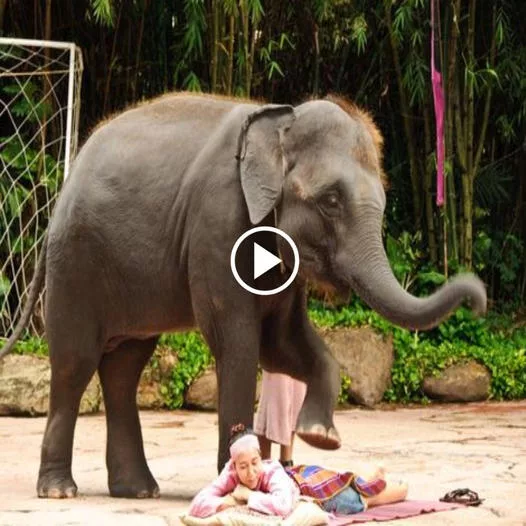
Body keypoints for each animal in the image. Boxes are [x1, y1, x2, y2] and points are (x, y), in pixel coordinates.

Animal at [0, 93, 488, 502]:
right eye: (331, 201)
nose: (479, 300)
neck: (281, 124)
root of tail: (66, 183)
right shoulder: (219, 225)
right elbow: (237, 343)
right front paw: (240, 479)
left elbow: (283, 344)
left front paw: (320, 436)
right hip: (76, 263)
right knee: (76, 362)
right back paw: (60, 491)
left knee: (125, 368)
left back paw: (137, 491)